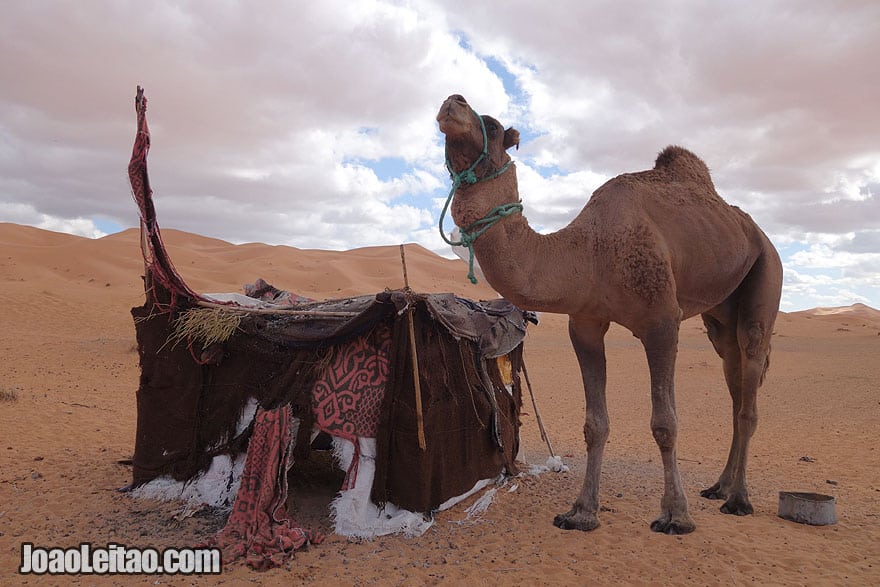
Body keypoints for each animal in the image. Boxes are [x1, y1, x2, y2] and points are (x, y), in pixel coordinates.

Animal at [440, 94, 784, 536]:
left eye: (495, 126)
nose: (452, 102)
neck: (589, 251)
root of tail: (755, 230)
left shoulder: (661, 321)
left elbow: (665, 423)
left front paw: (675, 515)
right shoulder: (585, 324)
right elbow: (595, 424)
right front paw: (581, 512)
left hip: (766, 269)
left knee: (750, 380)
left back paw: (739, 499)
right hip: (720, 313)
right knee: (732, 369)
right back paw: (719, 487)